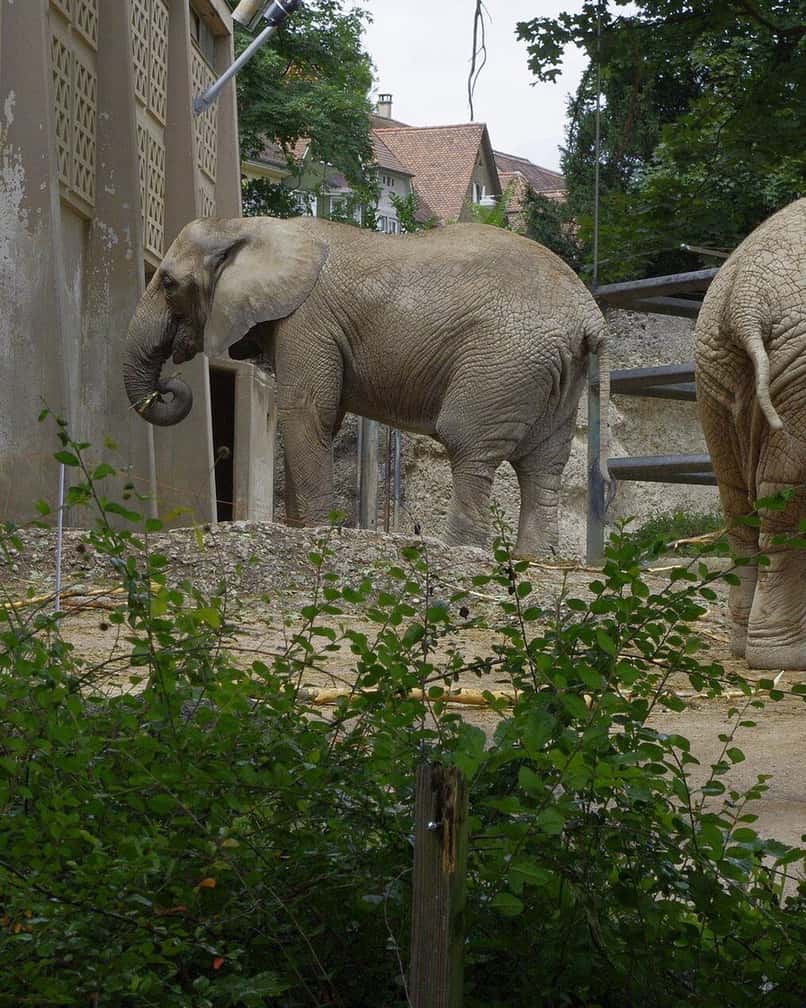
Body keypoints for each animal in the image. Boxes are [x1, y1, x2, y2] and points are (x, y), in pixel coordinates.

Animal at [124, 216, 610, 557]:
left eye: (168, 283)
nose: (168, 385)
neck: (251, 227)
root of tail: (590, 316)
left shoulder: (308, 321)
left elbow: (308, 412)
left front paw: (315, 532)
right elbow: (317, 417)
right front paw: (298, 530)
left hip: (504, 361)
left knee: (470, 446)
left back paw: (458, 549)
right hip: (556, 373)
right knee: (543, 464)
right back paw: (533, 557)